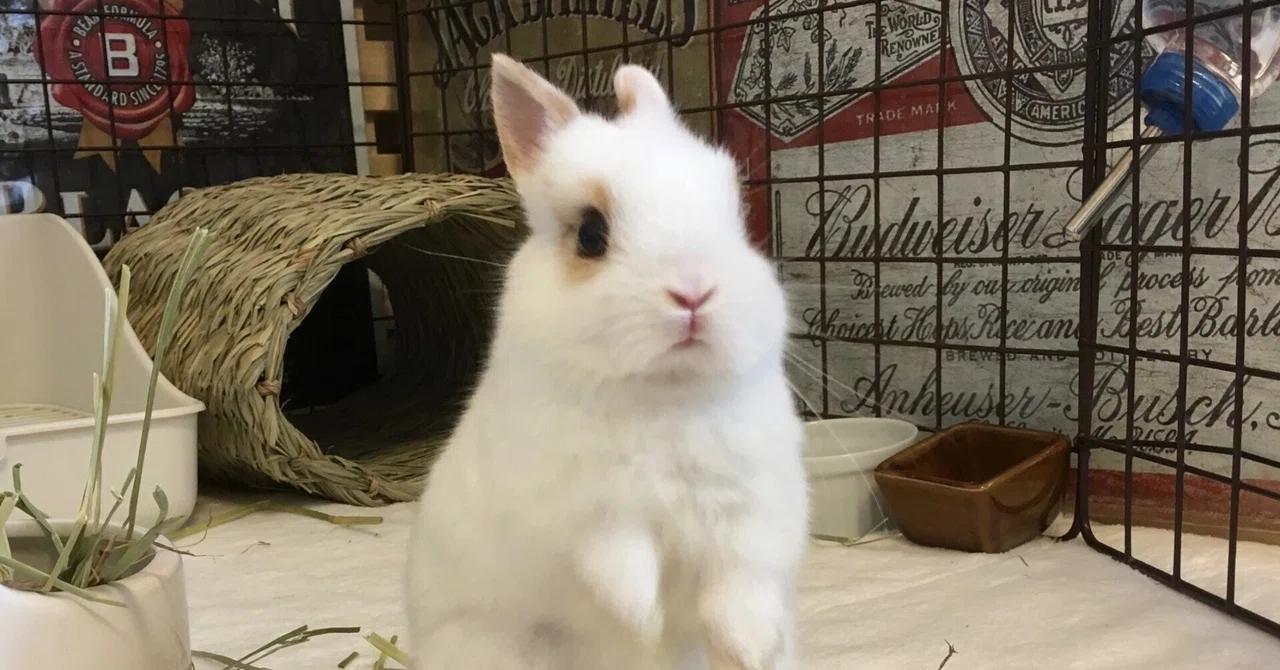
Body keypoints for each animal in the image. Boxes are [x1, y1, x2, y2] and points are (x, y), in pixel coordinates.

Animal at [405, 53, 809, 670]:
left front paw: (747, 648)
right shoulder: (583, 513)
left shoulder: (754, 509)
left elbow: (739, 583)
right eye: (592, 235)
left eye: (738, 220)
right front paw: (646, 624)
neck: (663, 395)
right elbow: (619, 568)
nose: (694, 293)